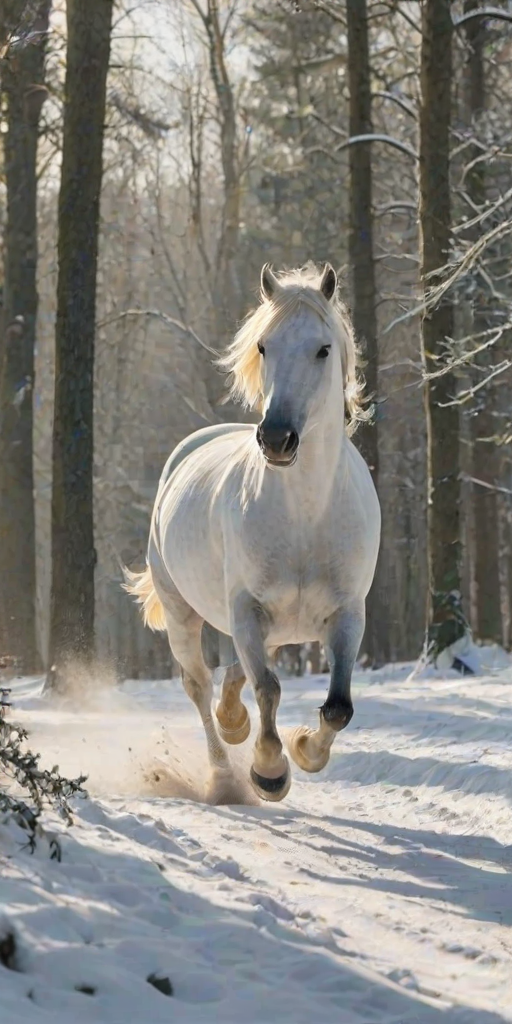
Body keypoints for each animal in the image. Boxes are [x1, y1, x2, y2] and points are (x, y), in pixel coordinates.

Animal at [124, 262, 381, 802]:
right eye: (263, 346)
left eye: (323, 349)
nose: (277, 438)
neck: (305, 516)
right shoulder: (245, 609)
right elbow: (269, 687)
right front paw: (269, 770)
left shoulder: (348, 613)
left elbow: (338, 706)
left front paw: (305, 750)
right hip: (183, 614)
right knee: (200, 685)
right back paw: (224, 774)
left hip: (276, 627)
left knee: (233, 675)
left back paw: (233, 721)